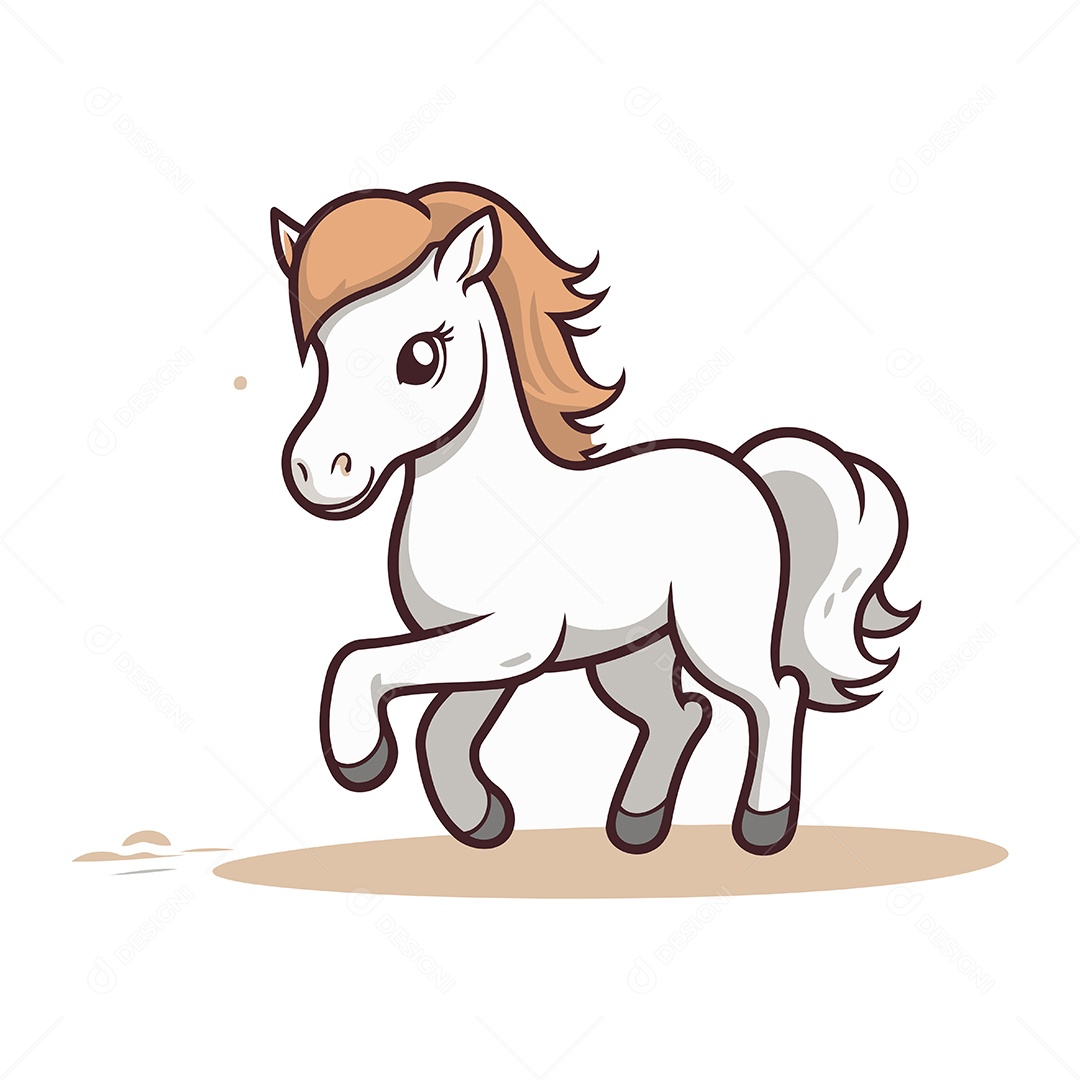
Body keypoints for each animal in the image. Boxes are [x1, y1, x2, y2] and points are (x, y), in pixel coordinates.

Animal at [269, 182, 918, 856]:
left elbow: (365, 663)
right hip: (630, 651)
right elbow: (441, 727)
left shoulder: (515, 636)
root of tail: (747, 473)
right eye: (320, 354)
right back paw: (636, 822)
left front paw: (360, 758)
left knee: (774, 694)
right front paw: (483, 818)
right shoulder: (481, 648)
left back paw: (761, 825)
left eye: (421, 357)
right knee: (682, 714)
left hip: (716, 634)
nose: (318, 472)